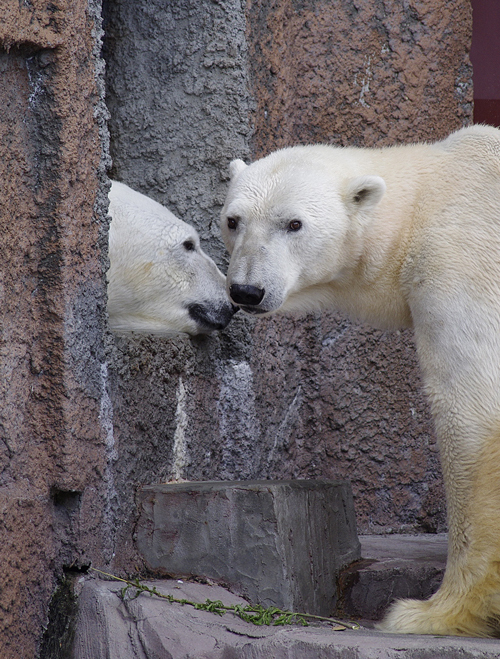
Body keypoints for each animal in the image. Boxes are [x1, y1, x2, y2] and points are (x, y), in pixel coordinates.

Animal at [222, 125, 500, 640]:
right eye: (233, 220)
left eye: (294, 224)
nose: (246, 291)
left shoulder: (463, 257)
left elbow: (472, 408)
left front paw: (433, 613)